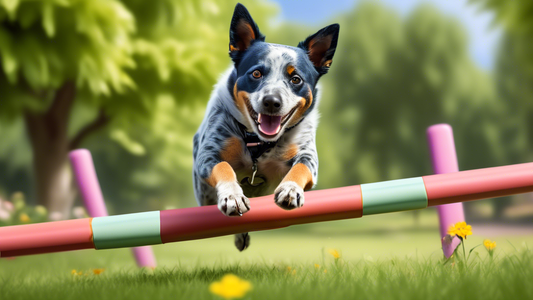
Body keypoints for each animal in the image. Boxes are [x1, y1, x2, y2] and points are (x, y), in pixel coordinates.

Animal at [193, 2, 338, 251]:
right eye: (256, 73)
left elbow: (301, 167)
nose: (272, 101)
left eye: (296, 79)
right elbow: (224, 167)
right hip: (203, 194)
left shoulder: (308, 156)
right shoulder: (209, 155)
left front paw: (290, 189)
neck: (259, 144)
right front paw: (232, 195)